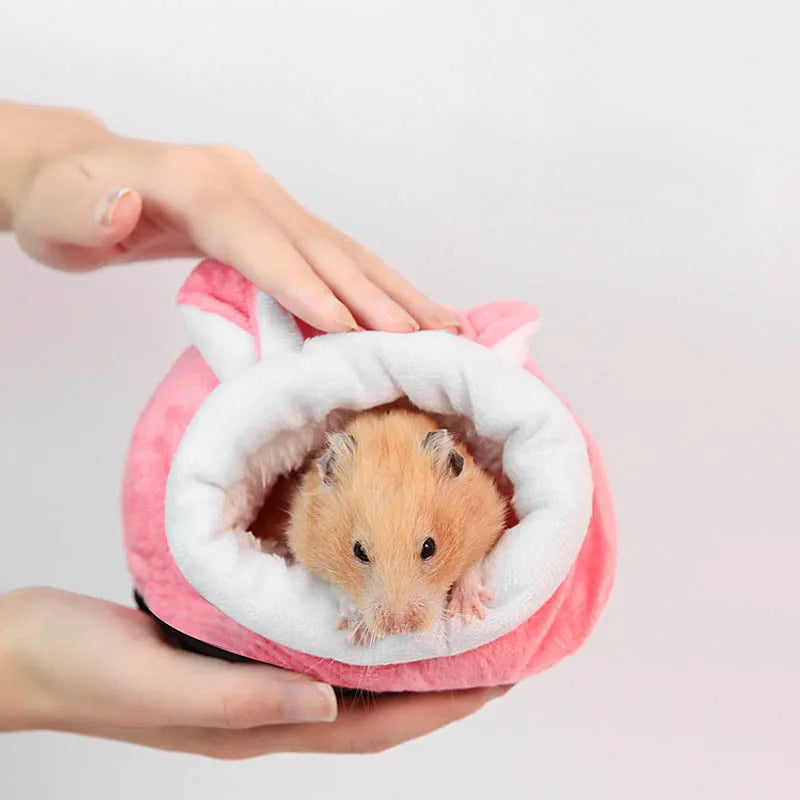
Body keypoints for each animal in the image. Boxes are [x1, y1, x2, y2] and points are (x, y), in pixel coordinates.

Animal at [284, 407, 508, 645]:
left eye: (429, 547)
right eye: (359, 551)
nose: (400, 628)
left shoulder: (487, 517)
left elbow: (472, 565)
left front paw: (469, 614)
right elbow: (337, 588)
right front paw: (357, 637)